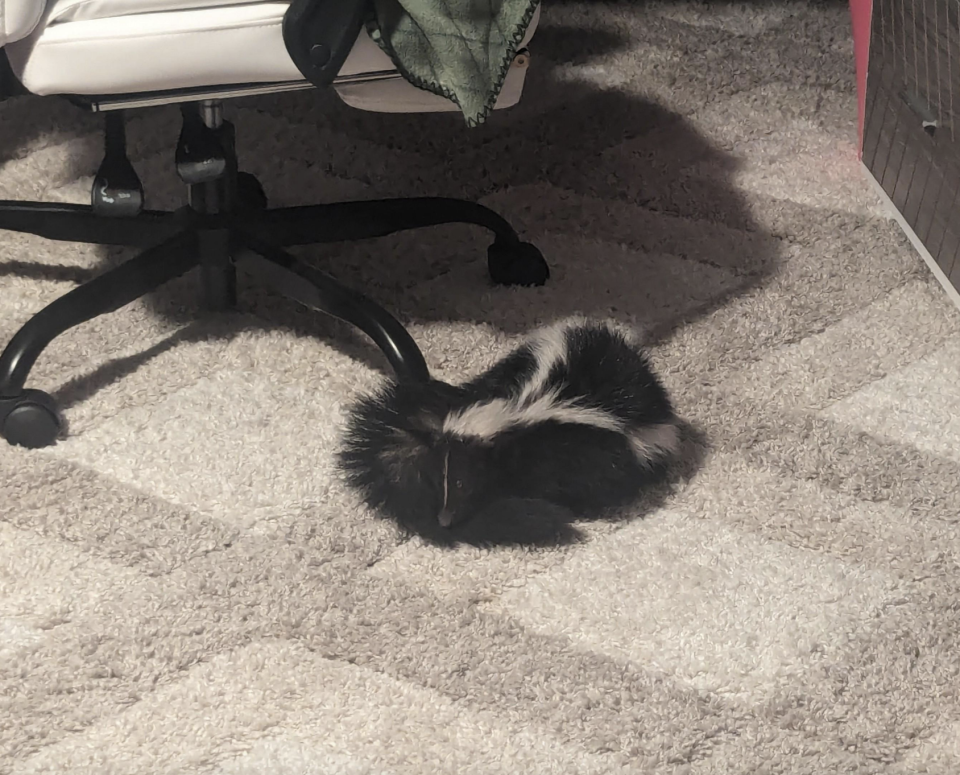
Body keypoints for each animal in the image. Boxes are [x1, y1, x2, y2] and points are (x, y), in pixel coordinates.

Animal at [338, 318, 684, 548]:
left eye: (464, 482)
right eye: (439, 479)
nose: (444, 520)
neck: (525, 412)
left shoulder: (586, 452)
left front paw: (579, 507)